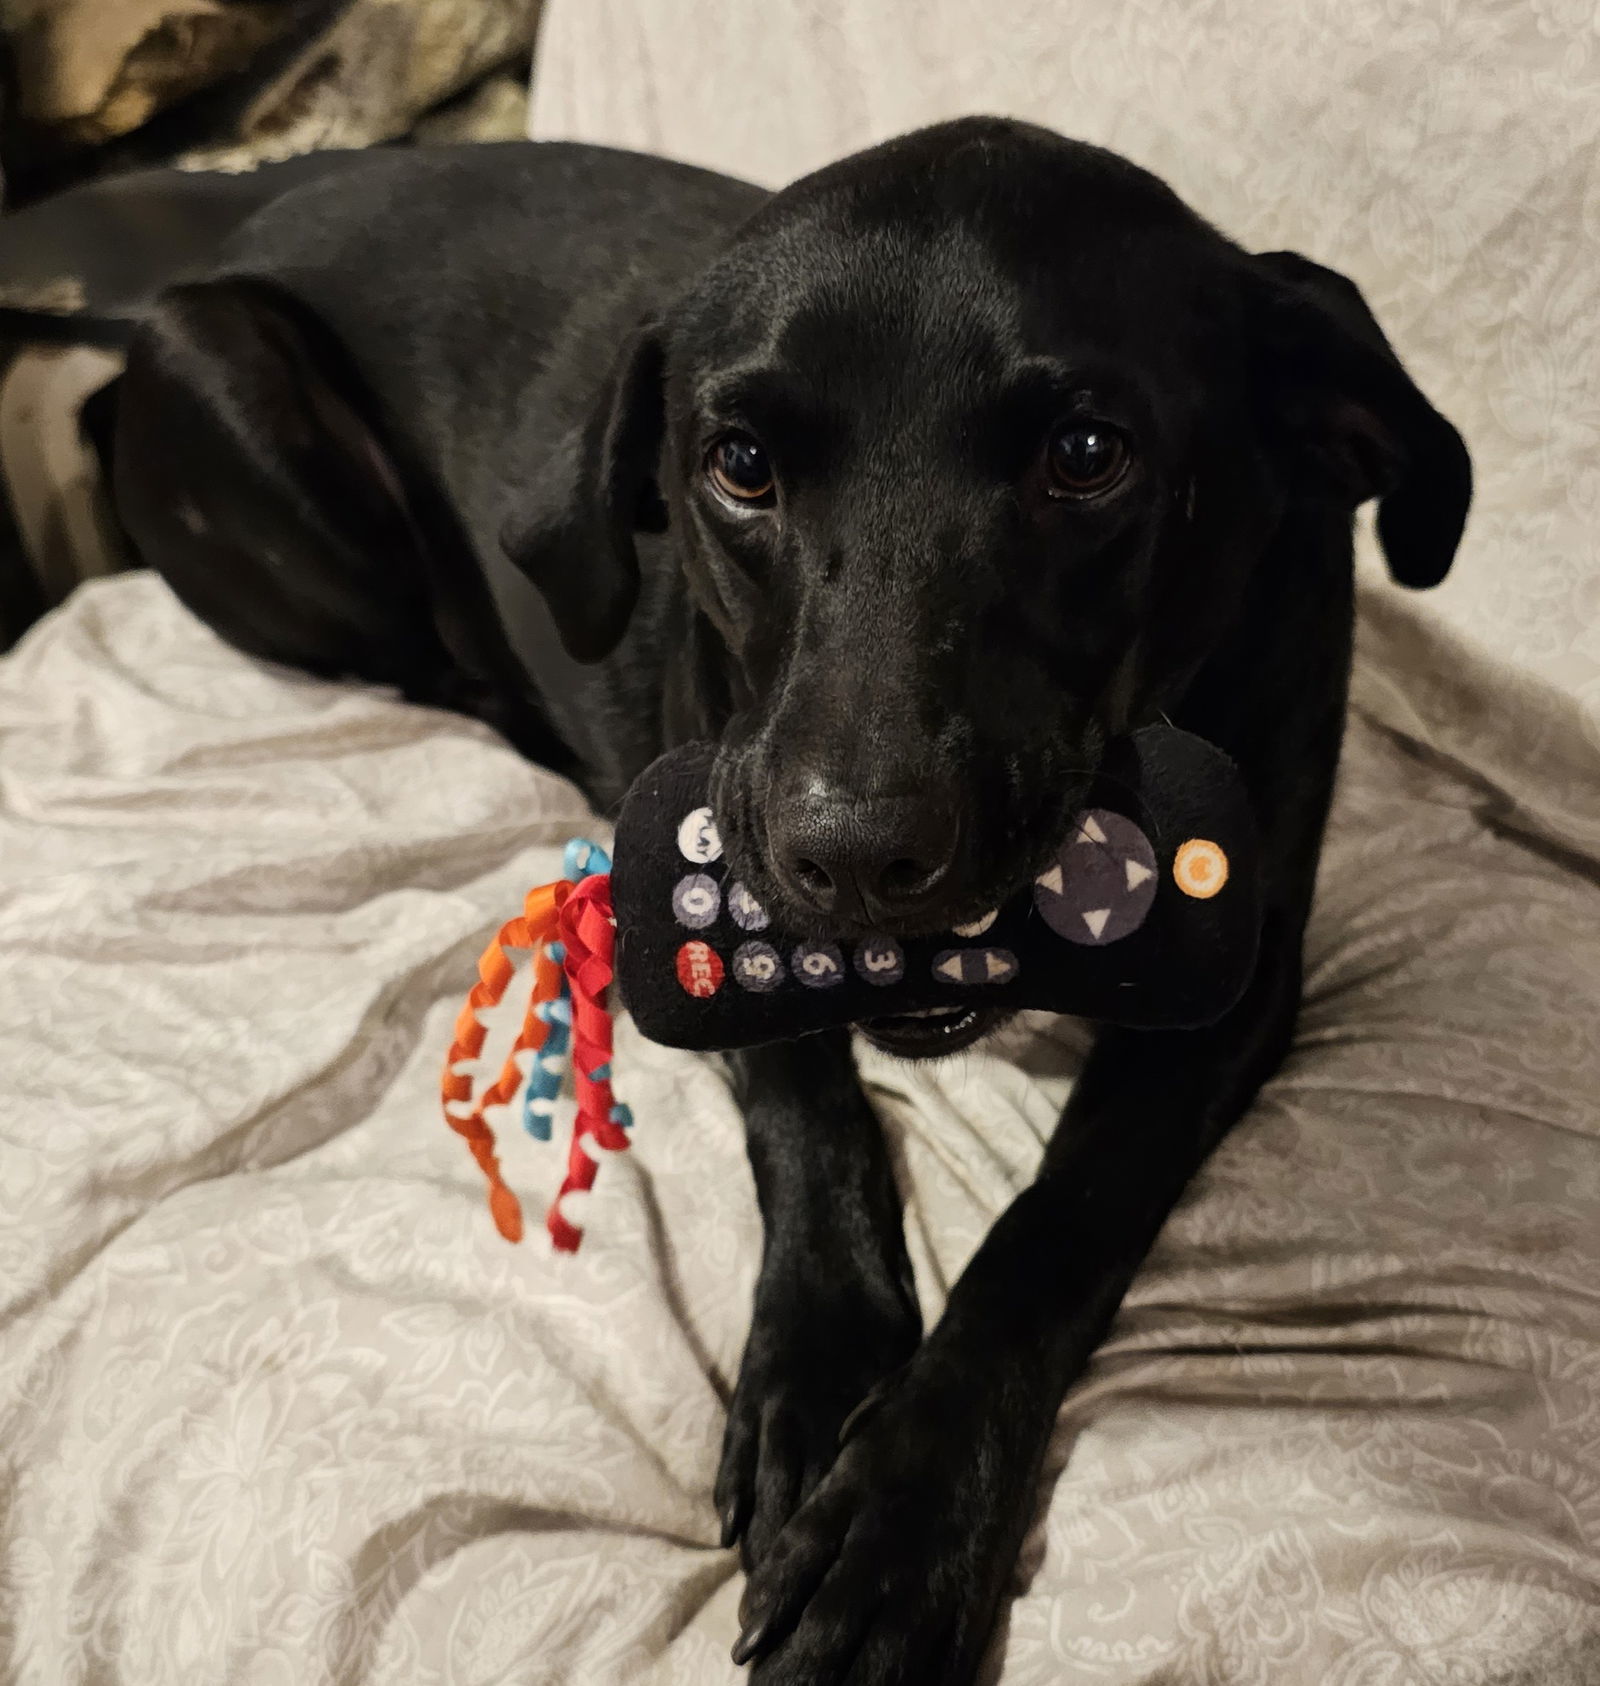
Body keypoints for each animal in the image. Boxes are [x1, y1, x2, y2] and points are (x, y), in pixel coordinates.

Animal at [99, 122, 1463, 1686]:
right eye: (738, 465)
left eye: (1088, 455)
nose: (858, 857)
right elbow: (808, 1108)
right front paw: (819, 1370)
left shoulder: (1232, 990)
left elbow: (1057, 1222)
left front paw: (902, 1524)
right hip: (229, 375)